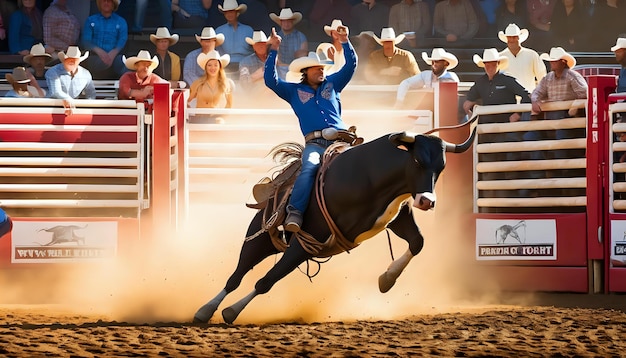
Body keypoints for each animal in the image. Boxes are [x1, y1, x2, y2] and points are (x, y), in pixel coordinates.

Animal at [193, 126, 476, 324]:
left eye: (441, 166)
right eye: (417, 161)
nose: (427, 201)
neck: (371, 176)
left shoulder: (397, 218)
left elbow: (417, 242)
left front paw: (386, 280)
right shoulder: (309, 239)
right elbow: (266, 282)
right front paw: (231, 312)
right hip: (260, 236)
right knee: (237, 276)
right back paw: (206, 310)